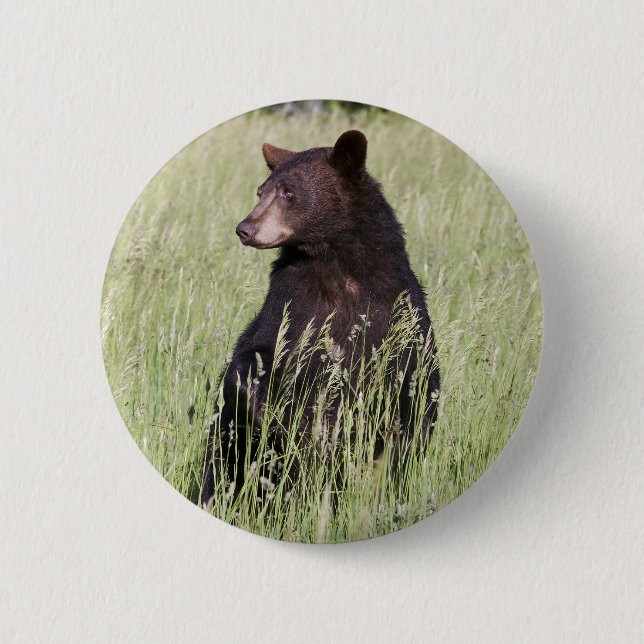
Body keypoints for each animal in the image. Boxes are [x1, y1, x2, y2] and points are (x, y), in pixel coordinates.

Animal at [200, 130, 439, 509]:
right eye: (260, 191)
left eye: (289, 192)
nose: (245, 228)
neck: (336, 263)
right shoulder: (290, 303)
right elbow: (254, 355)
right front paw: (267, 412)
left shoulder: (396, 310)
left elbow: (412, 386)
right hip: (228, 450)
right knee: (221, 468)